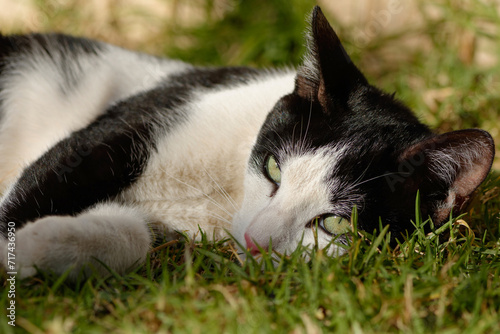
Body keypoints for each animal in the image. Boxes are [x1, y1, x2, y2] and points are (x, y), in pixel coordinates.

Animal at [0, 6, 492, 280]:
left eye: (335, 225)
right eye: (273, 168)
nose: (256, 242)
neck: (227, 193)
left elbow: (134, 235)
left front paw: (36, 247)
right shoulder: (127, 127)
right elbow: (53, 177)